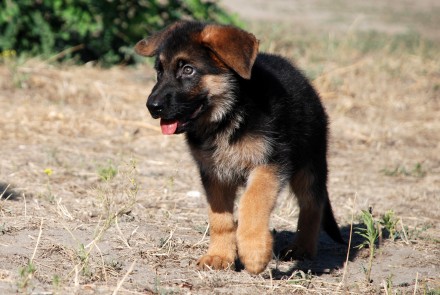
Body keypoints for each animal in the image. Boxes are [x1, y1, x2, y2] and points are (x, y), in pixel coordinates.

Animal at [134, 20, 344, 276]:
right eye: (159, 71)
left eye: (188, 70)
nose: (152, 106)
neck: (229, 114)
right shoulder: (214, 174)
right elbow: (220, 219)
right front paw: (219, 255)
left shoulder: (269, 164)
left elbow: (252, 202)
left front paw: (254, 250)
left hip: (309, 164)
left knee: (313, 203)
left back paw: (302, 248)